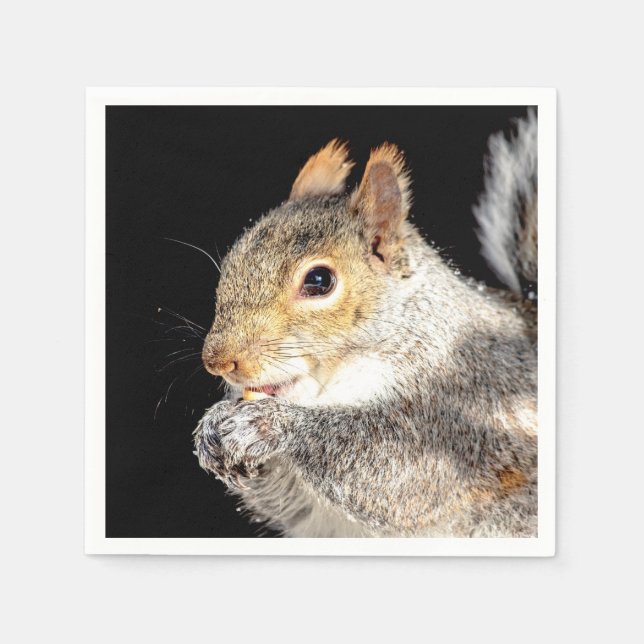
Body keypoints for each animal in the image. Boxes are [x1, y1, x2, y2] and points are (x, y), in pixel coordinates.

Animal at [193, 111, 538, 537]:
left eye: (319, 280)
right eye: (231, 263)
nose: (218, 361)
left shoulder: (460, 410)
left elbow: (401, 472)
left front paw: (267, 425)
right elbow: (288, 502)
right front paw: (211, 429)